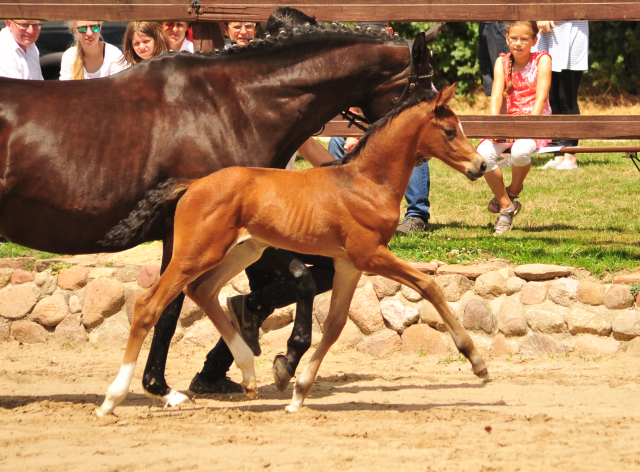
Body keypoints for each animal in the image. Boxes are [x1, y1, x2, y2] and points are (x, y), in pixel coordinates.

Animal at [97, 85, 490, 416]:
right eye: (450, 130)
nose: (481, 165)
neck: (366, 181)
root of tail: (193, 184)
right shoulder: (370, 254)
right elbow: (429, 285)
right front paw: (476, 361)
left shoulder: (347, 263)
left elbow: (334, 325)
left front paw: (298, 391)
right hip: (197, 253)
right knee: (149, 304)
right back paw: (113, 399)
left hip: (242, 251)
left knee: (203, 290)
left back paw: (249, 375)